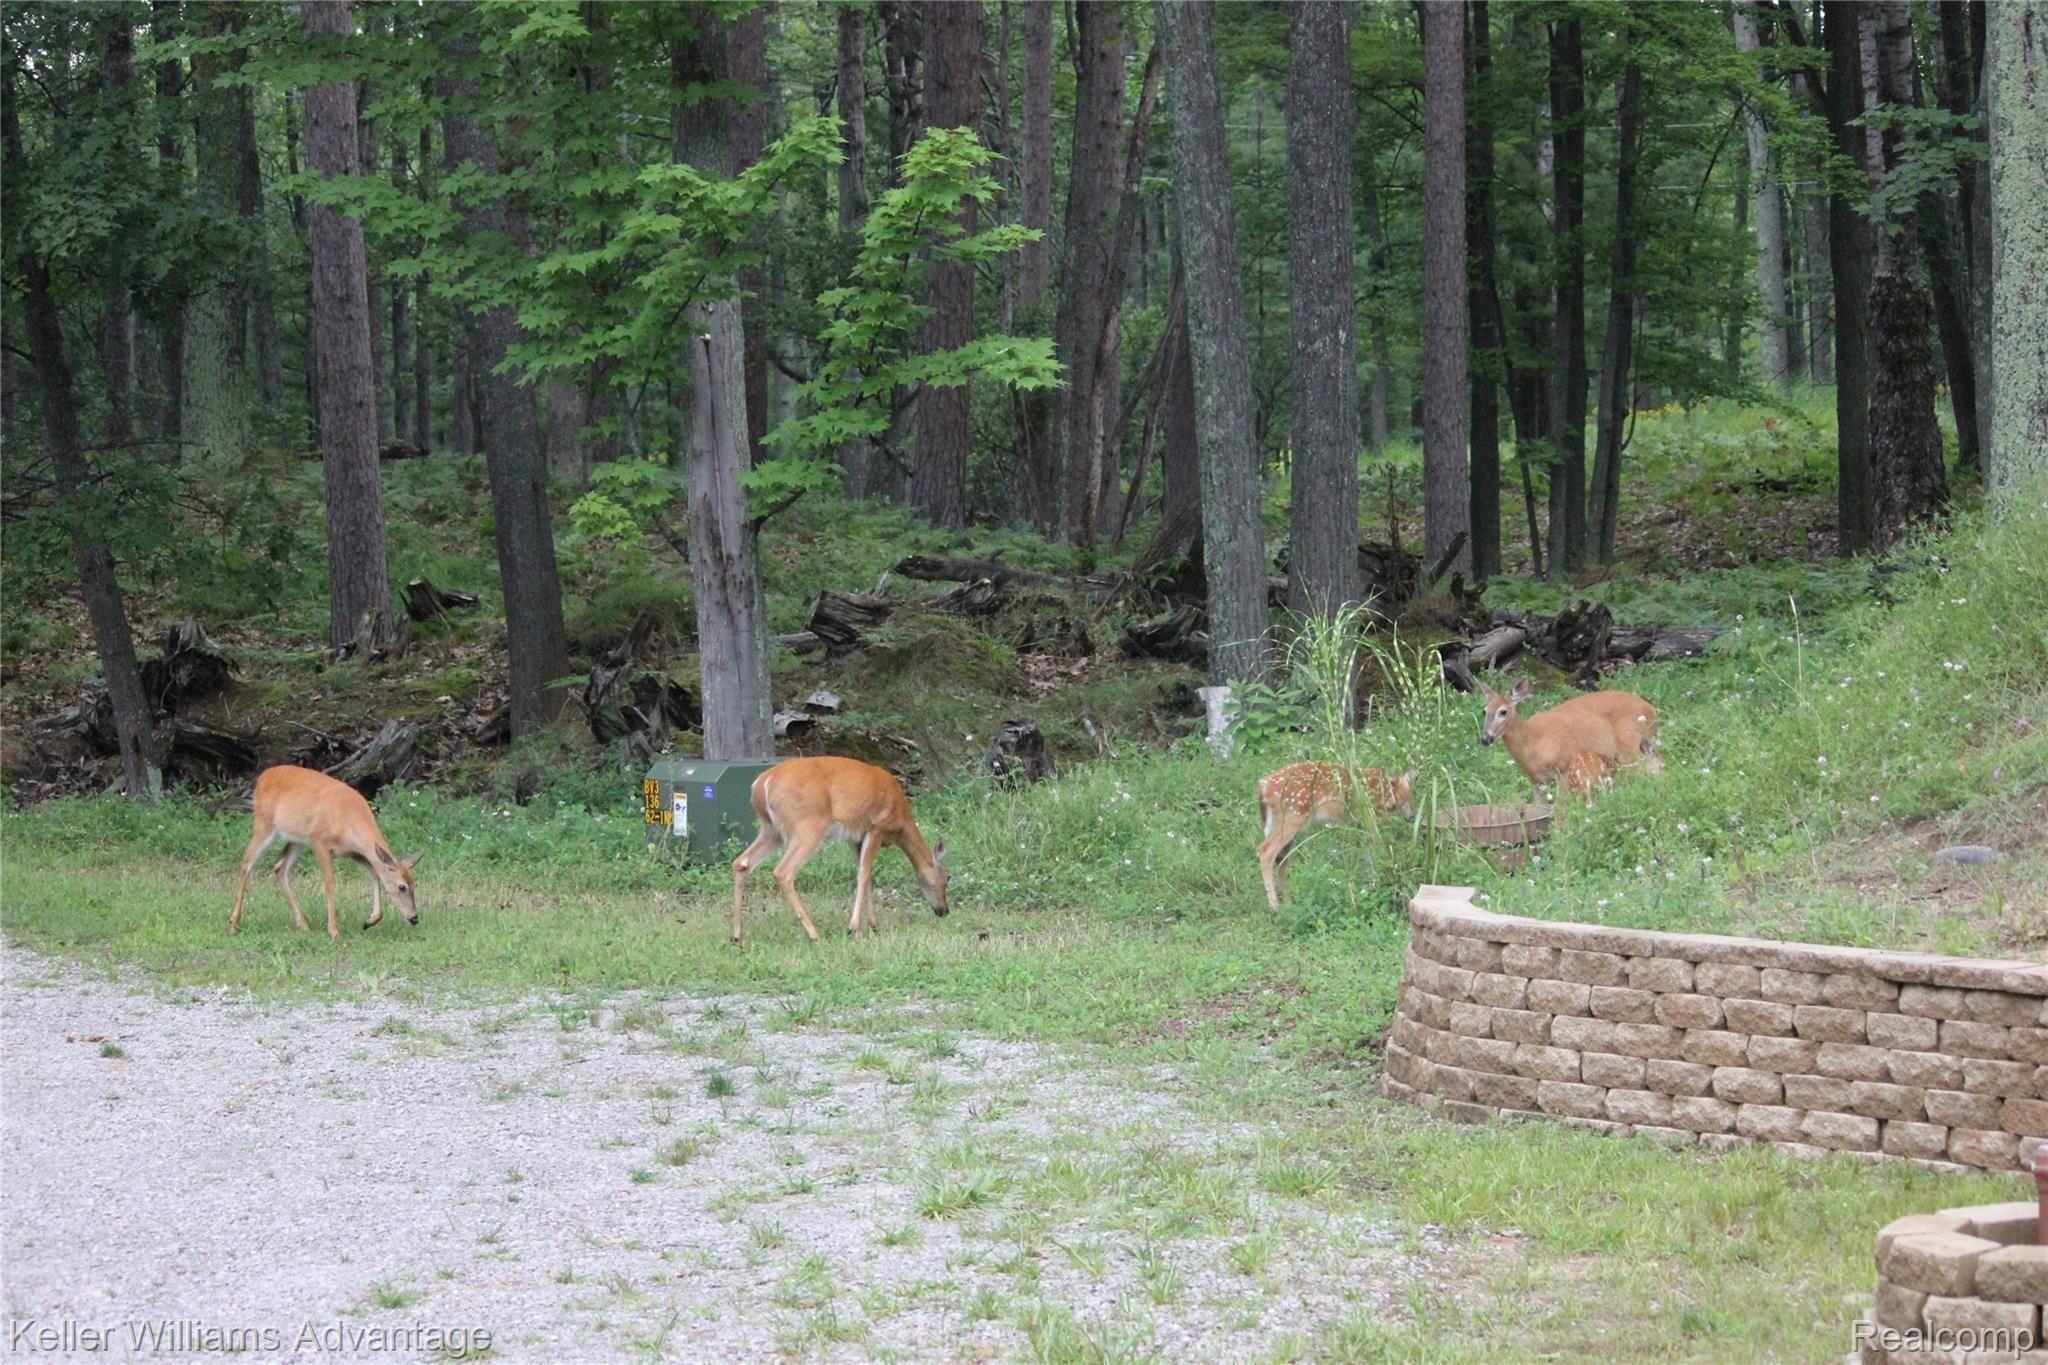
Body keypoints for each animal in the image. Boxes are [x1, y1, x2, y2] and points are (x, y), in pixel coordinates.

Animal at [229, 765, 422, 942]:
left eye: (415, 885)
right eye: (402, 887)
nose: (414, 918)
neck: (349, 818)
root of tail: (263, 776)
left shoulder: (353, 852)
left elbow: (375, 873)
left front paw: (370, 921)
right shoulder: (320, 842)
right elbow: (329, 882)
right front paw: (334, 931)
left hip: (297, 839)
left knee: (279, 868)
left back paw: (303, 925)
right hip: (264, 825)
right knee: (246, 863)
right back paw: (233, 924)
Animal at [730, 756, 948, 943]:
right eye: (947, 878)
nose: (944, 911)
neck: (902, 822)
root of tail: (762, 784)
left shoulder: (855, 838)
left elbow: (866, 875)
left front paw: (873, 924)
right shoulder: (876, 826)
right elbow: (864, 875)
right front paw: (854, 928)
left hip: (770, 829)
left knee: (741, 863)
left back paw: (736, 935)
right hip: (807, 826)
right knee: (783, 871)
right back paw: (814, 934)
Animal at [1255, 761, 1414, 910]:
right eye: (1411, 796)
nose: (1412, 817)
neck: (1386, 790)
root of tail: (1263, 786)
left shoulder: (1360, 822)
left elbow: (1366, 851)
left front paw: (1372, 884)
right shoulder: (1370, 817)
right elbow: (1377, 849)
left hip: (1276, 823)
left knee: (1280, 859)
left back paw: (1288, 904)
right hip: (1292, 816)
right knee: (1266, 850)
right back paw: (1275, 907)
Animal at [1477, 677, 1661, 795]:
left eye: (1503, 712)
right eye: (1484, 711)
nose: (1485, 739)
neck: (1533, 743)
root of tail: (1652, 710)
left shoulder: (1564, 769)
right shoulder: (1536, 781)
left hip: (1630, 746)